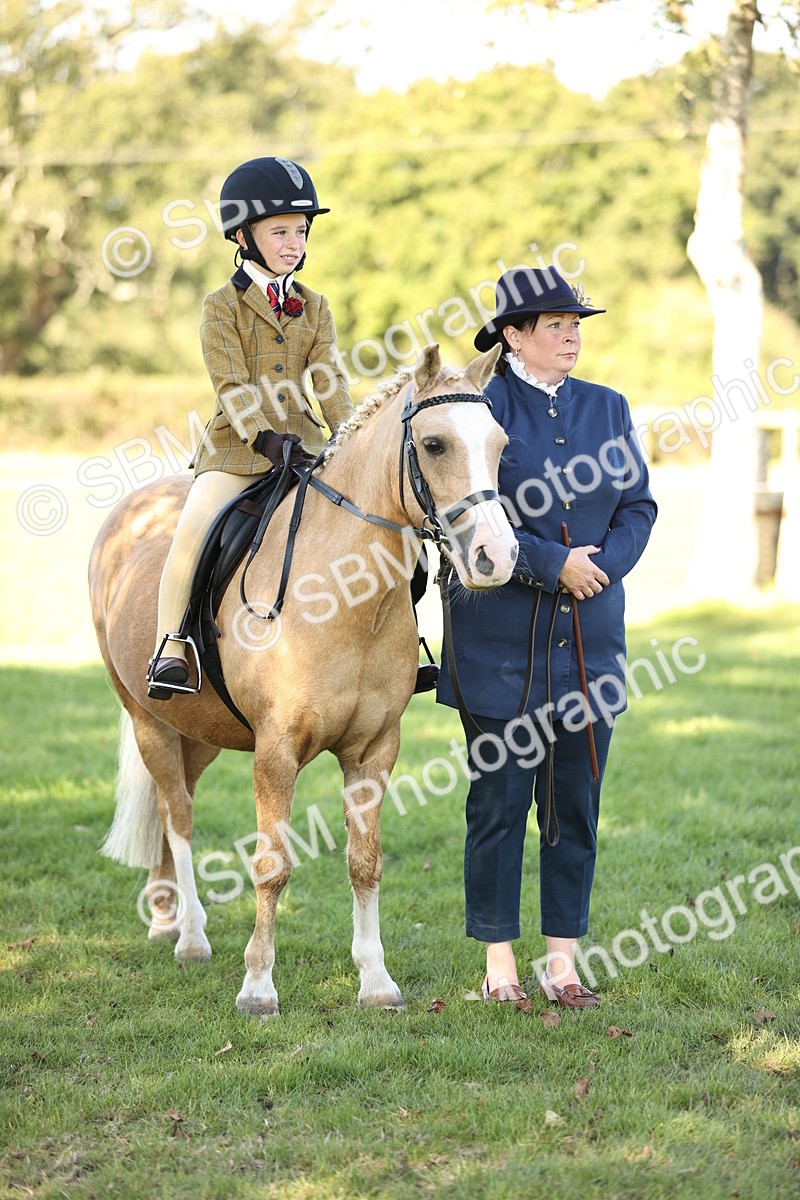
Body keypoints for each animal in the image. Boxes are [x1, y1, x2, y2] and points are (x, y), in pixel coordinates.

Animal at [88, 342, 518, 1016]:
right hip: (147, 719)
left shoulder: (374, 750)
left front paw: (376, 982)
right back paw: (190, 936)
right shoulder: (277, 751)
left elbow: (365, 862)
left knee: (170, 803)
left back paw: (164, 918)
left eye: (500, 444)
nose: (495, 558)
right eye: (435, 445)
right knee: (178, 815)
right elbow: (272, 864)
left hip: (199, 732)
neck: (344, 595)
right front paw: (258, 987)